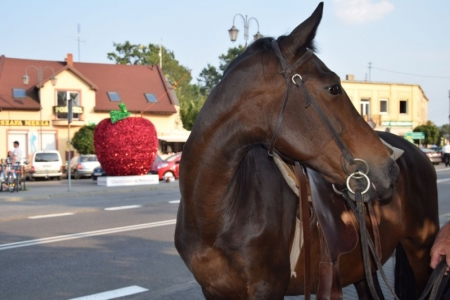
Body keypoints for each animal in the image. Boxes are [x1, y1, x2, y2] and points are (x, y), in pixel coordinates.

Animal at [175, 2, 436, 300]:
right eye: (334, 87)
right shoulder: (212, 290)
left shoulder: (268, 289)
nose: (390, 169)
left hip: (421, 251)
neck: (215, 214)